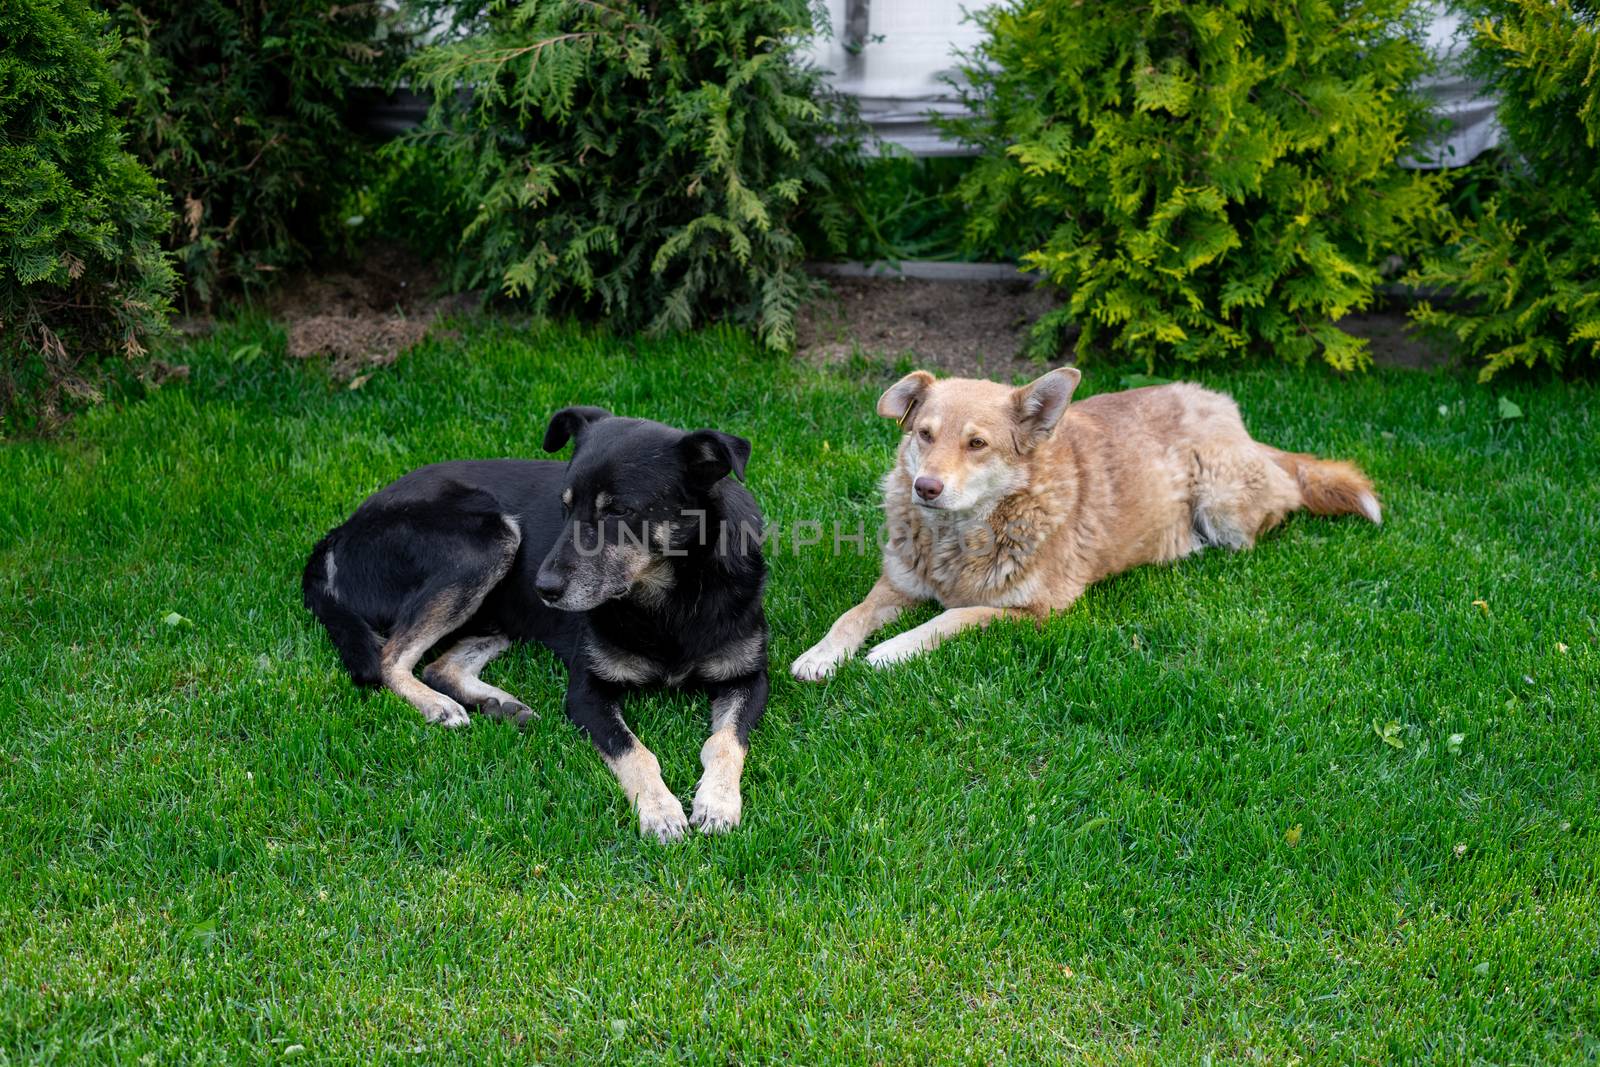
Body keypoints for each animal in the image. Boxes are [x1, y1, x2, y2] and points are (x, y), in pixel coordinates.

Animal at [304, 409, 774, 844]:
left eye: (618, 511)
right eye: (564, 507)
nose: (543, 587)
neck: (670, 599)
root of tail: (340, 532)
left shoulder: (749, 678)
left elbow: (725, 742)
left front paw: (717, 803)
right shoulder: (586, 692)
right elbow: (636, 752)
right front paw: (660, 811)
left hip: (502, 605)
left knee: (439, 665)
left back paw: (497, 703)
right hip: (488, 540)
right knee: (390, 658)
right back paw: (438, 706)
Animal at [793, 371, 1382, 681]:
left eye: (977, 443)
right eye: (923, 433)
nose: (925, 488)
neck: (958, 539)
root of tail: (1232, 416)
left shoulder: (1037, 612)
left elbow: (952, 618)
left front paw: (893, 650)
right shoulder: (898, 583)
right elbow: (849, 616)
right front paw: (821, 656)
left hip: (1225, 506)